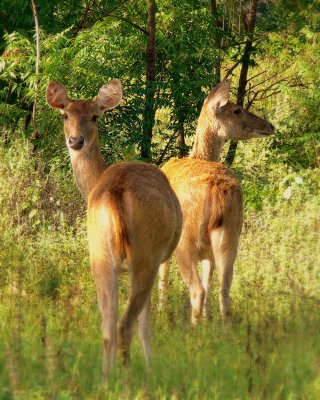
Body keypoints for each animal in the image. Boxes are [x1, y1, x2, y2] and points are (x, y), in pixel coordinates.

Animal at [45, 78, 182, 376]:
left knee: (107, 324)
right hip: (146, 255)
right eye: (65, 115)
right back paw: (130, 376)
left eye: (94, 116)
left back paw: (106, 378)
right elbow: (146, 326)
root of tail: (116, 190)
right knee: (125, 324)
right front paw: (151, 368)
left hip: (99, 254)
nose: (75, 141)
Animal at [159, 79, 274, 324]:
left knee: (197, 290)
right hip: (229, 233)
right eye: (237, 110)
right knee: (223, 289)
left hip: (186, 240)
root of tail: (216, 190)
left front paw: (161, 312)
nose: (270, 126)